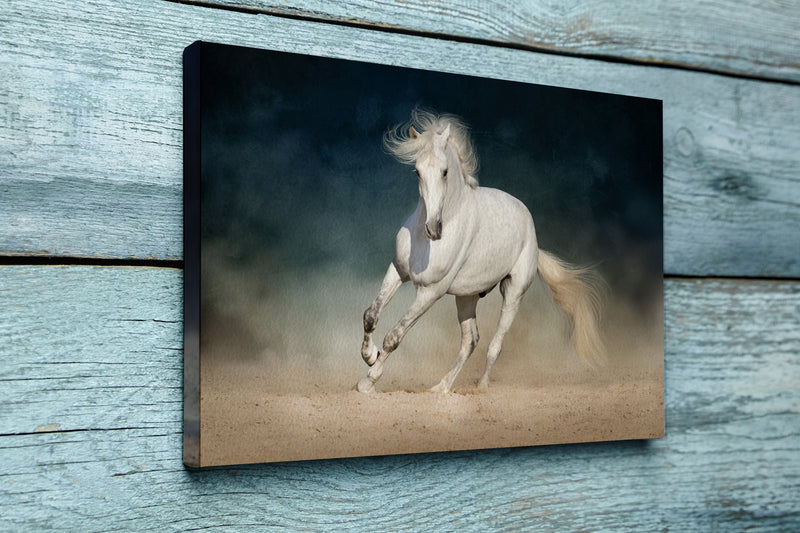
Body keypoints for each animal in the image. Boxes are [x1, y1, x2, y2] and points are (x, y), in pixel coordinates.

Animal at [356, 108, 600, 392]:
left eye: (445, 172)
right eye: (417, 171)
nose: (433, 230)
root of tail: (532, 232)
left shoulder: (430, 292)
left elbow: (394, 335)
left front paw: (368, 381)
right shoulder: (397, 271)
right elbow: (371, 315)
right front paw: (369, 356)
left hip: (513, 292)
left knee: (495, 344)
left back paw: (480, 387)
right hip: (467, 296)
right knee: (470, 340)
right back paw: (441, 388)